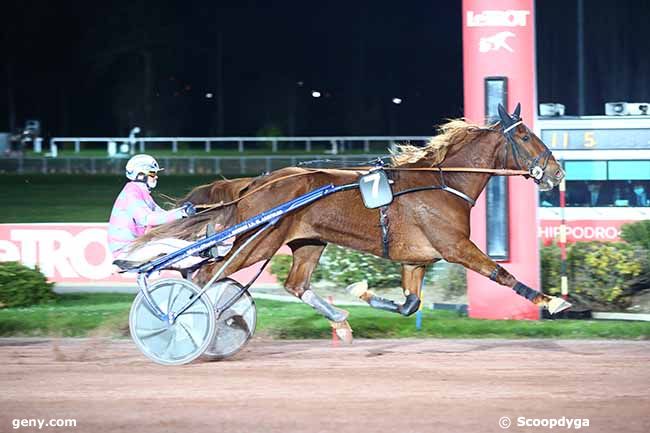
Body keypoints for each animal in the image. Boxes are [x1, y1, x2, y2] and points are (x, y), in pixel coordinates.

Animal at [134, 104, 568, 340]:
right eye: (525, 137)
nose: (557, 172)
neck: (445, 182)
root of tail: (256, 183)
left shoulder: (416, 259)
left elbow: (410, 305)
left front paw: (361, 293)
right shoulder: (455, 247)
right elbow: (501, 274)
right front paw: (553, 300)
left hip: (307, 241)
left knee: (294, 284)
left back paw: (338, 321)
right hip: (257, 242)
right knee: (206, 274)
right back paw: (180, 320)